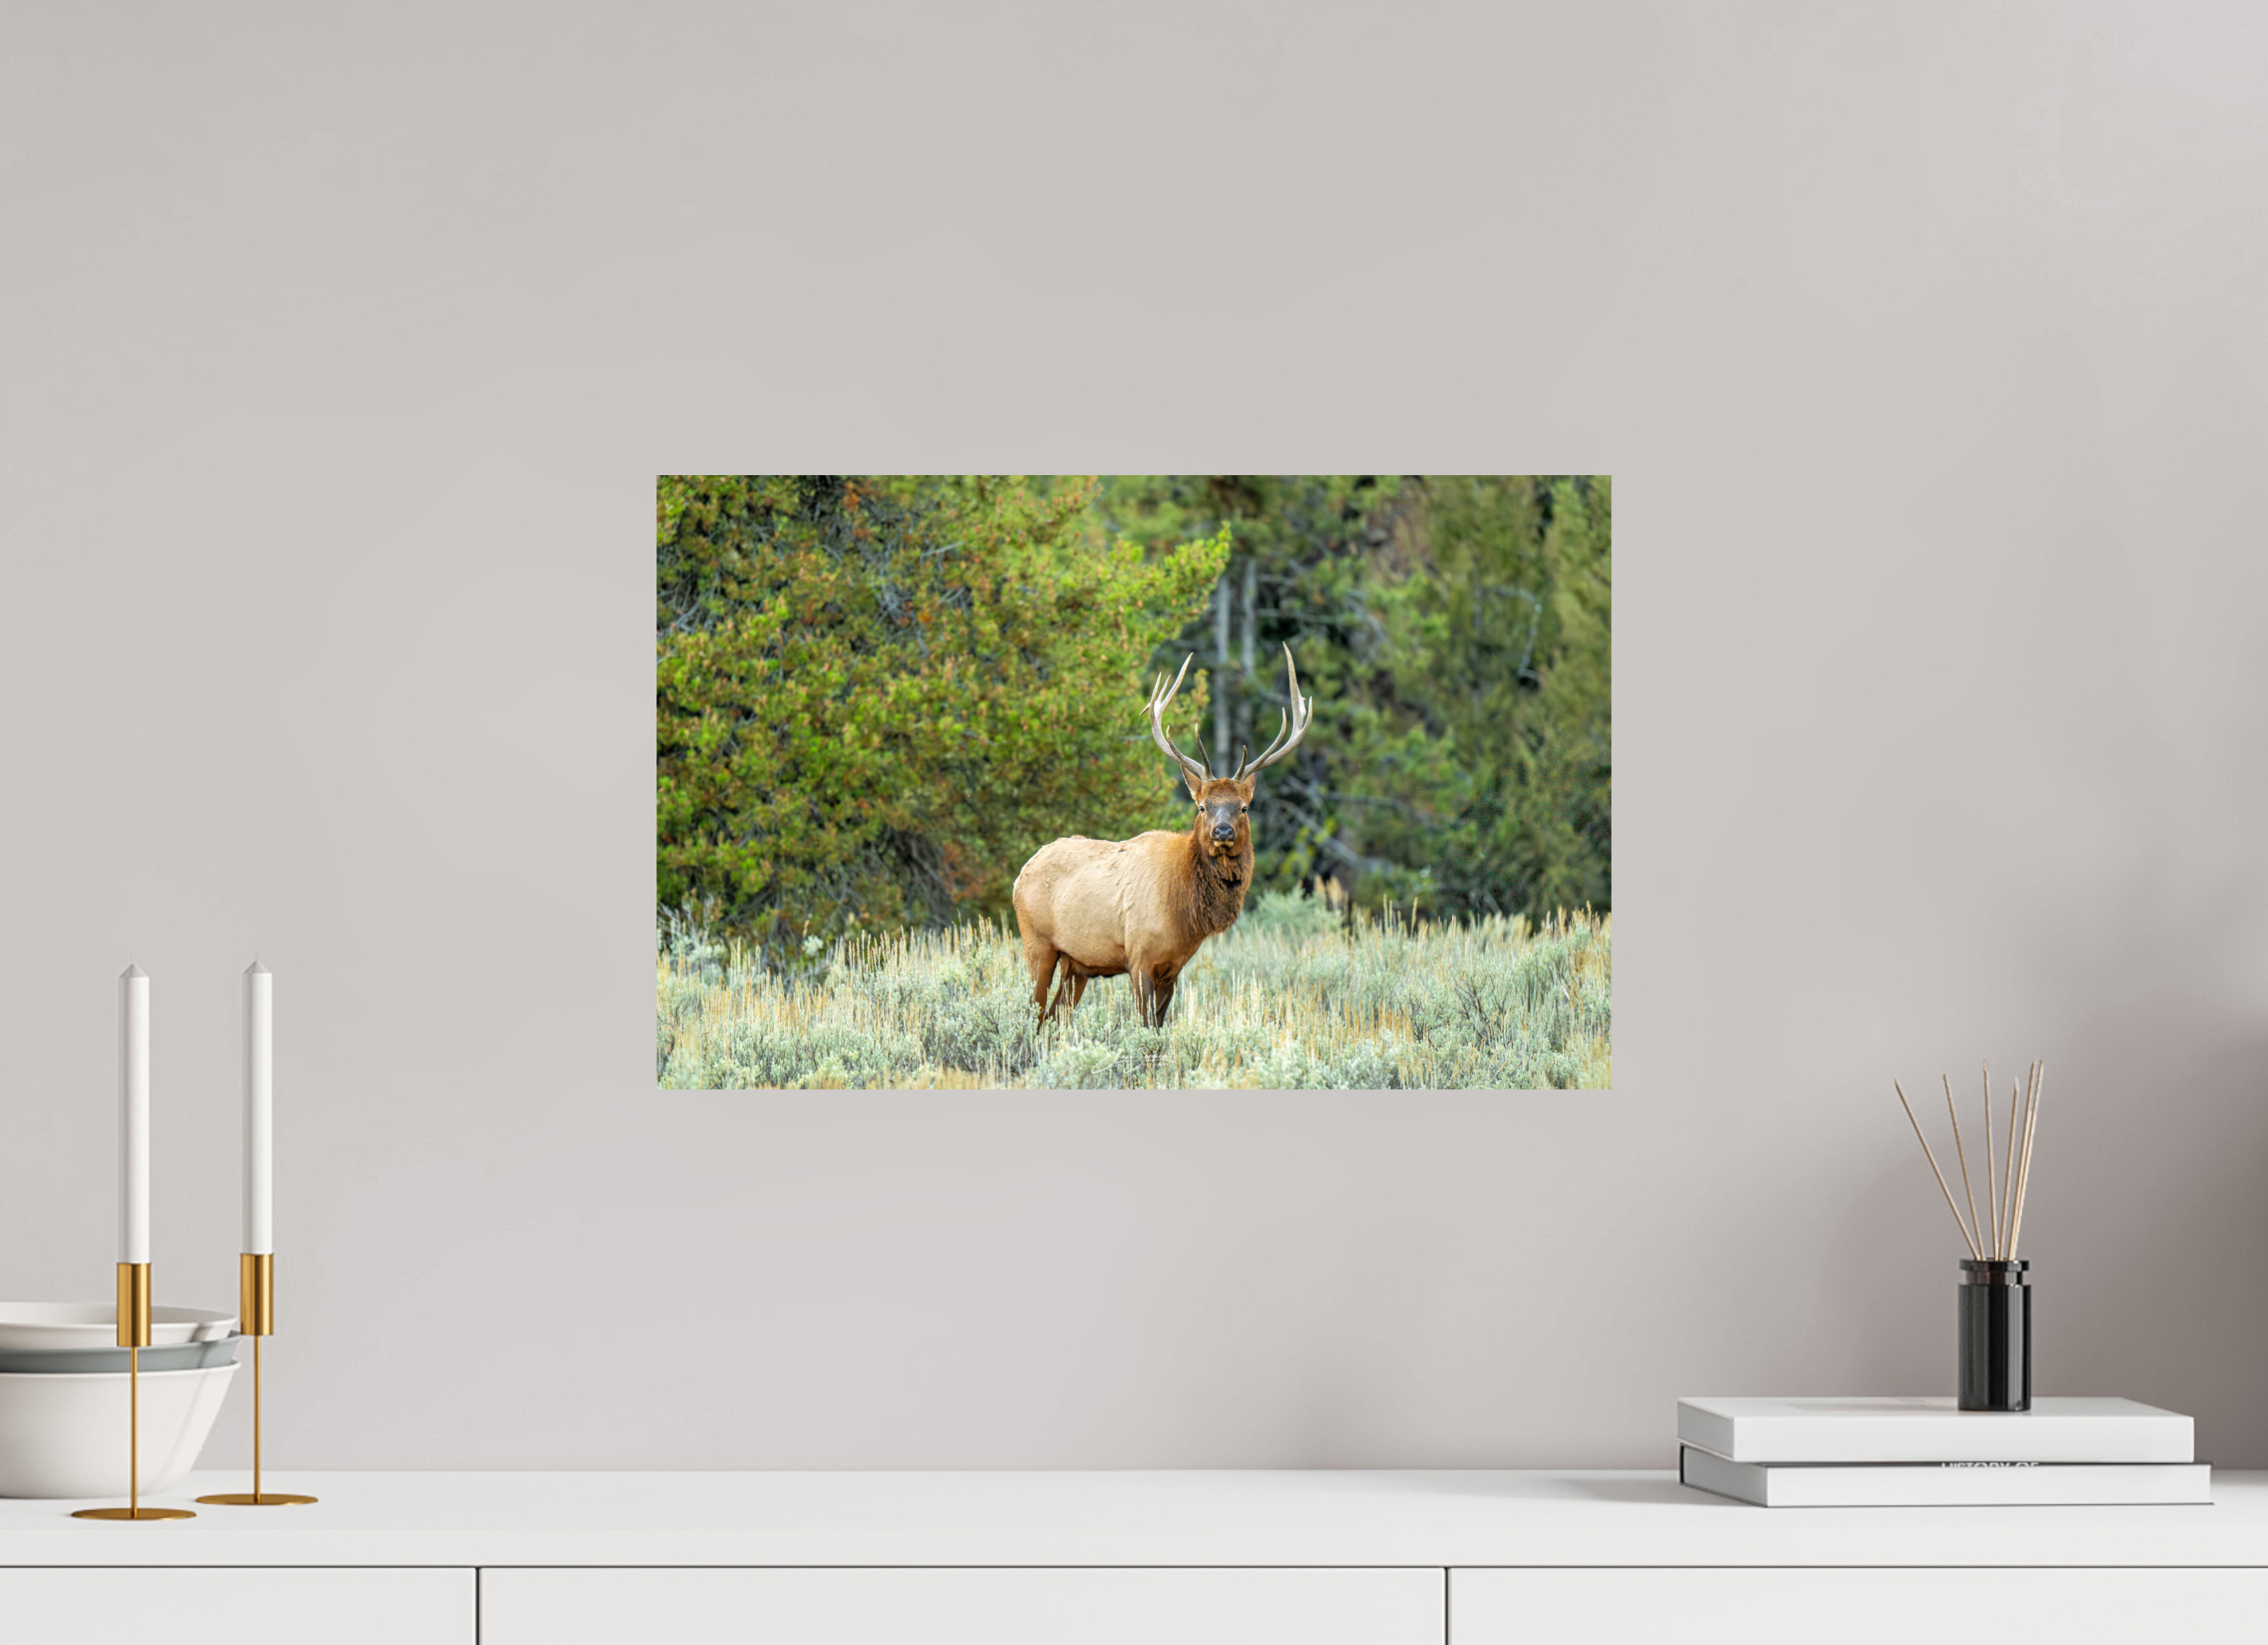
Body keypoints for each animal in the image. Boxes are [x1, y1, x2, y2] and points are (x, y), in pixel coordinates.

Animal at [1011, 644, 1313, 1028]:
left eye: (1244, 807)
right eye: (1203, 806)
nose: (1223, 830)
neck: (1183, 910)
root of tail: (1021, 873)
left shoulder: (1174, 968)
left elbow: (1159, 1029)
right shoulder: (1139, 957)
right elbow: (1145, 1028)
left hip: (1076, 964)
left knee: (1052, 1019)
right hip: (1037, 943)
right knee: (1031, 1013)